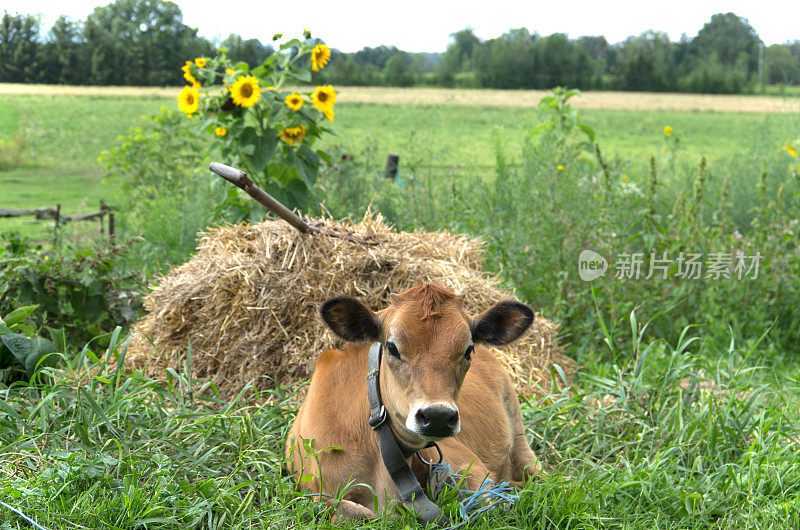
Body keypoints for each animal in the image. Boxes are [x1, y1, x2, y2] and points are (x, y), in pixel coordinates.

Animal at [284, 282, 540, 516]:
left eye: (468, 350)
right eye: (391, 347)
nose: (437, 416)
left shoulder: (473, 468)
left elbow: (487, 503)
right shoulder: (316, 493)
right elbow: (347, 510)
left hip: (518, 430)